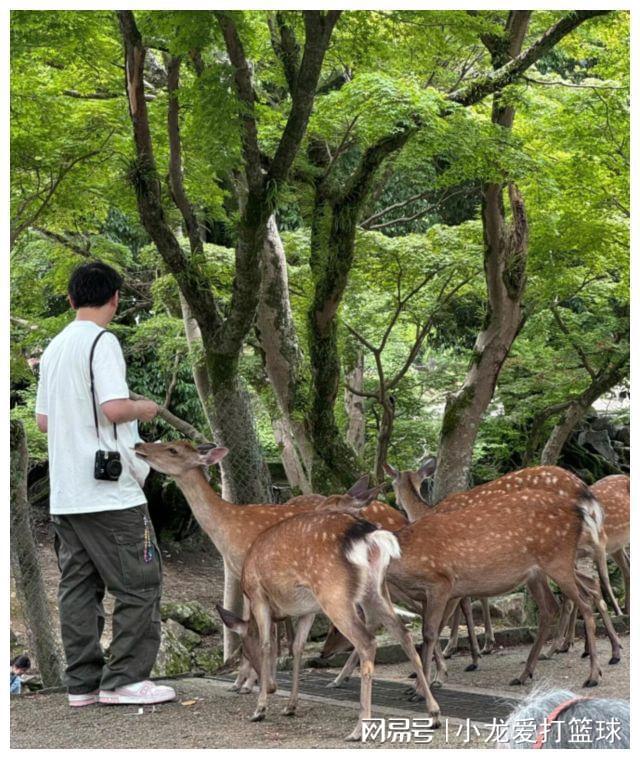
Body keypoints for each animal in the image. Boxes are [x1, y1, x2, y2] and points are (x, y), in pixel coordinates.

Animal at [215, 510, 440, 744]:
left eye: (244, 652)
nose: (270, 687)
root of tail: (371, 537)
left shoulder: (258, 595)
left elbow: (267, 645)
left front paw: (260, 709)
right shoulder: (308, 609)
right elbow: (297, 647)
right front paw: (290, 706)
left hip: (334, 592)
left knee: (367, 642)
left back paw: (359, 729)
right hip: (376, 590)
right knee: (403, 634)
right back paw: (433, 713)